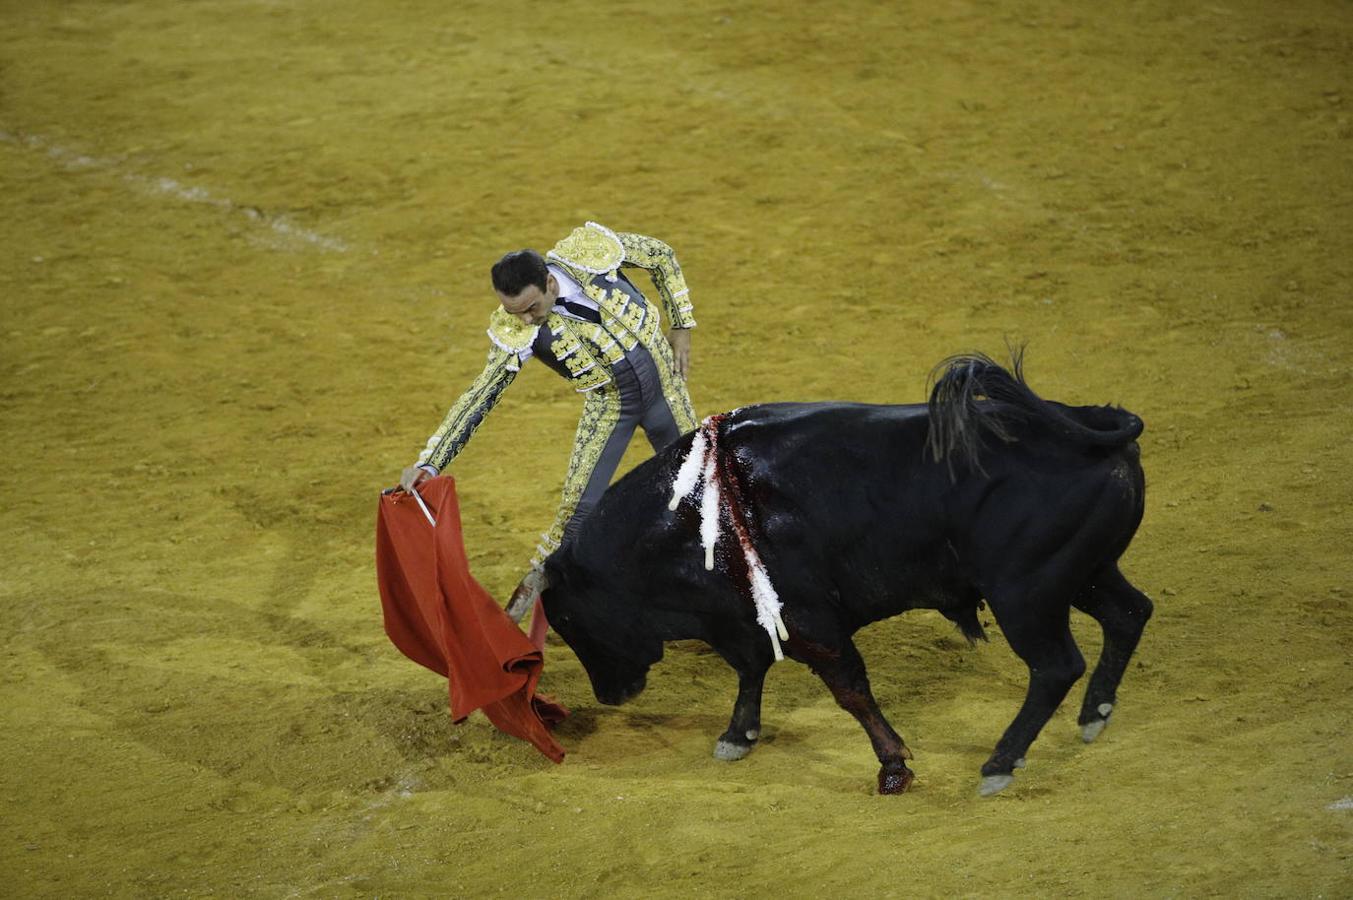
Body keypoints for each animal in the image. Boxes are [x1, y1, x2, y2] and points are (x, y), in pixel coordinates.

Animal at [538, 354, 1152, 795]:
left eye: (567, 619)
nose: (610, 693)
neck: (697, 514)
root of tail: (1087, 423)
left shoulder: (809, 622)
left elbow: (849, 690)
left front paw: (893, 768)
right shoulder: (748, 618)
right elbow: (750, 670)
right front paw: (738, 735)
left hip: (1026, 595)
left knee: (1055, 666)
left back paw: (1000, 762)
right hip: (1085, 574)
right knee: (1129, 613)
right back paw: (1094, 715)